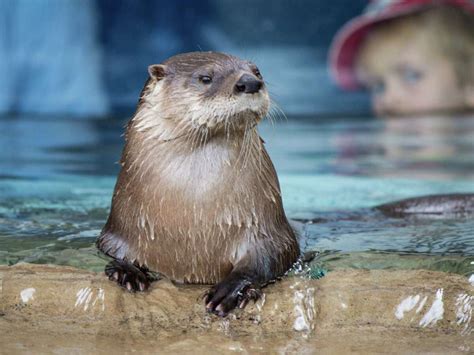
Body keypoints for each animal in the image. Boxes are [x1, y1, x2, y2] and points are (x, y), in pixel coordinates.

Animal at [96, 51, 300, 316]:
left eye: (257, 71)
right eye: (205, 78)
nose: (250, 82)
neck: (193, 214)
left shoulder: (268, 228)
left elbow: (273, 255)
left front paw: (232, 289)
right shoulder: (117, 232)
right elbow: (114, 251)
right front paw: (127, 271)